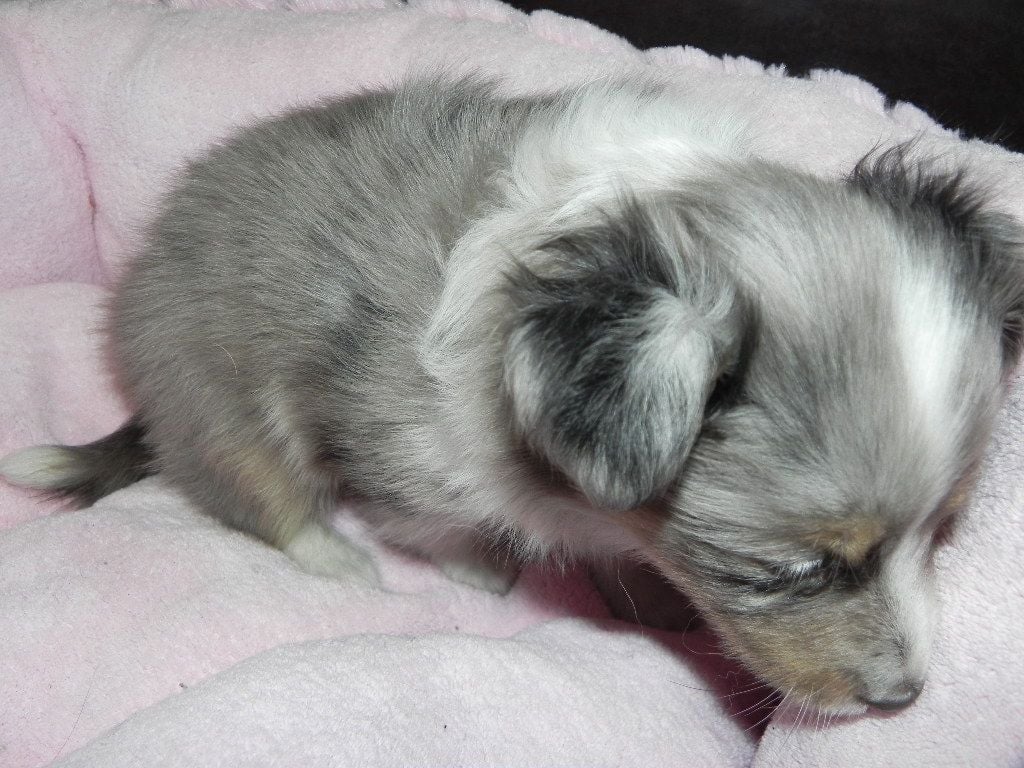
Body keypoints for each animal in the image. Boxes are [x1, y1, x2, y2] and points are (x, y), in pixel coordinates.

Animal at [3, 77, 1022, 716]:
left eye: (945, 531)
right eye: (798, 571)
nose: (904, 699)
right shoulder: (403, 448)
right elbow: (437, 523)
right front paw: (481, 570)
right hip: (226, 403)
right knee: (252, 492)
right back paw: (336, 557)